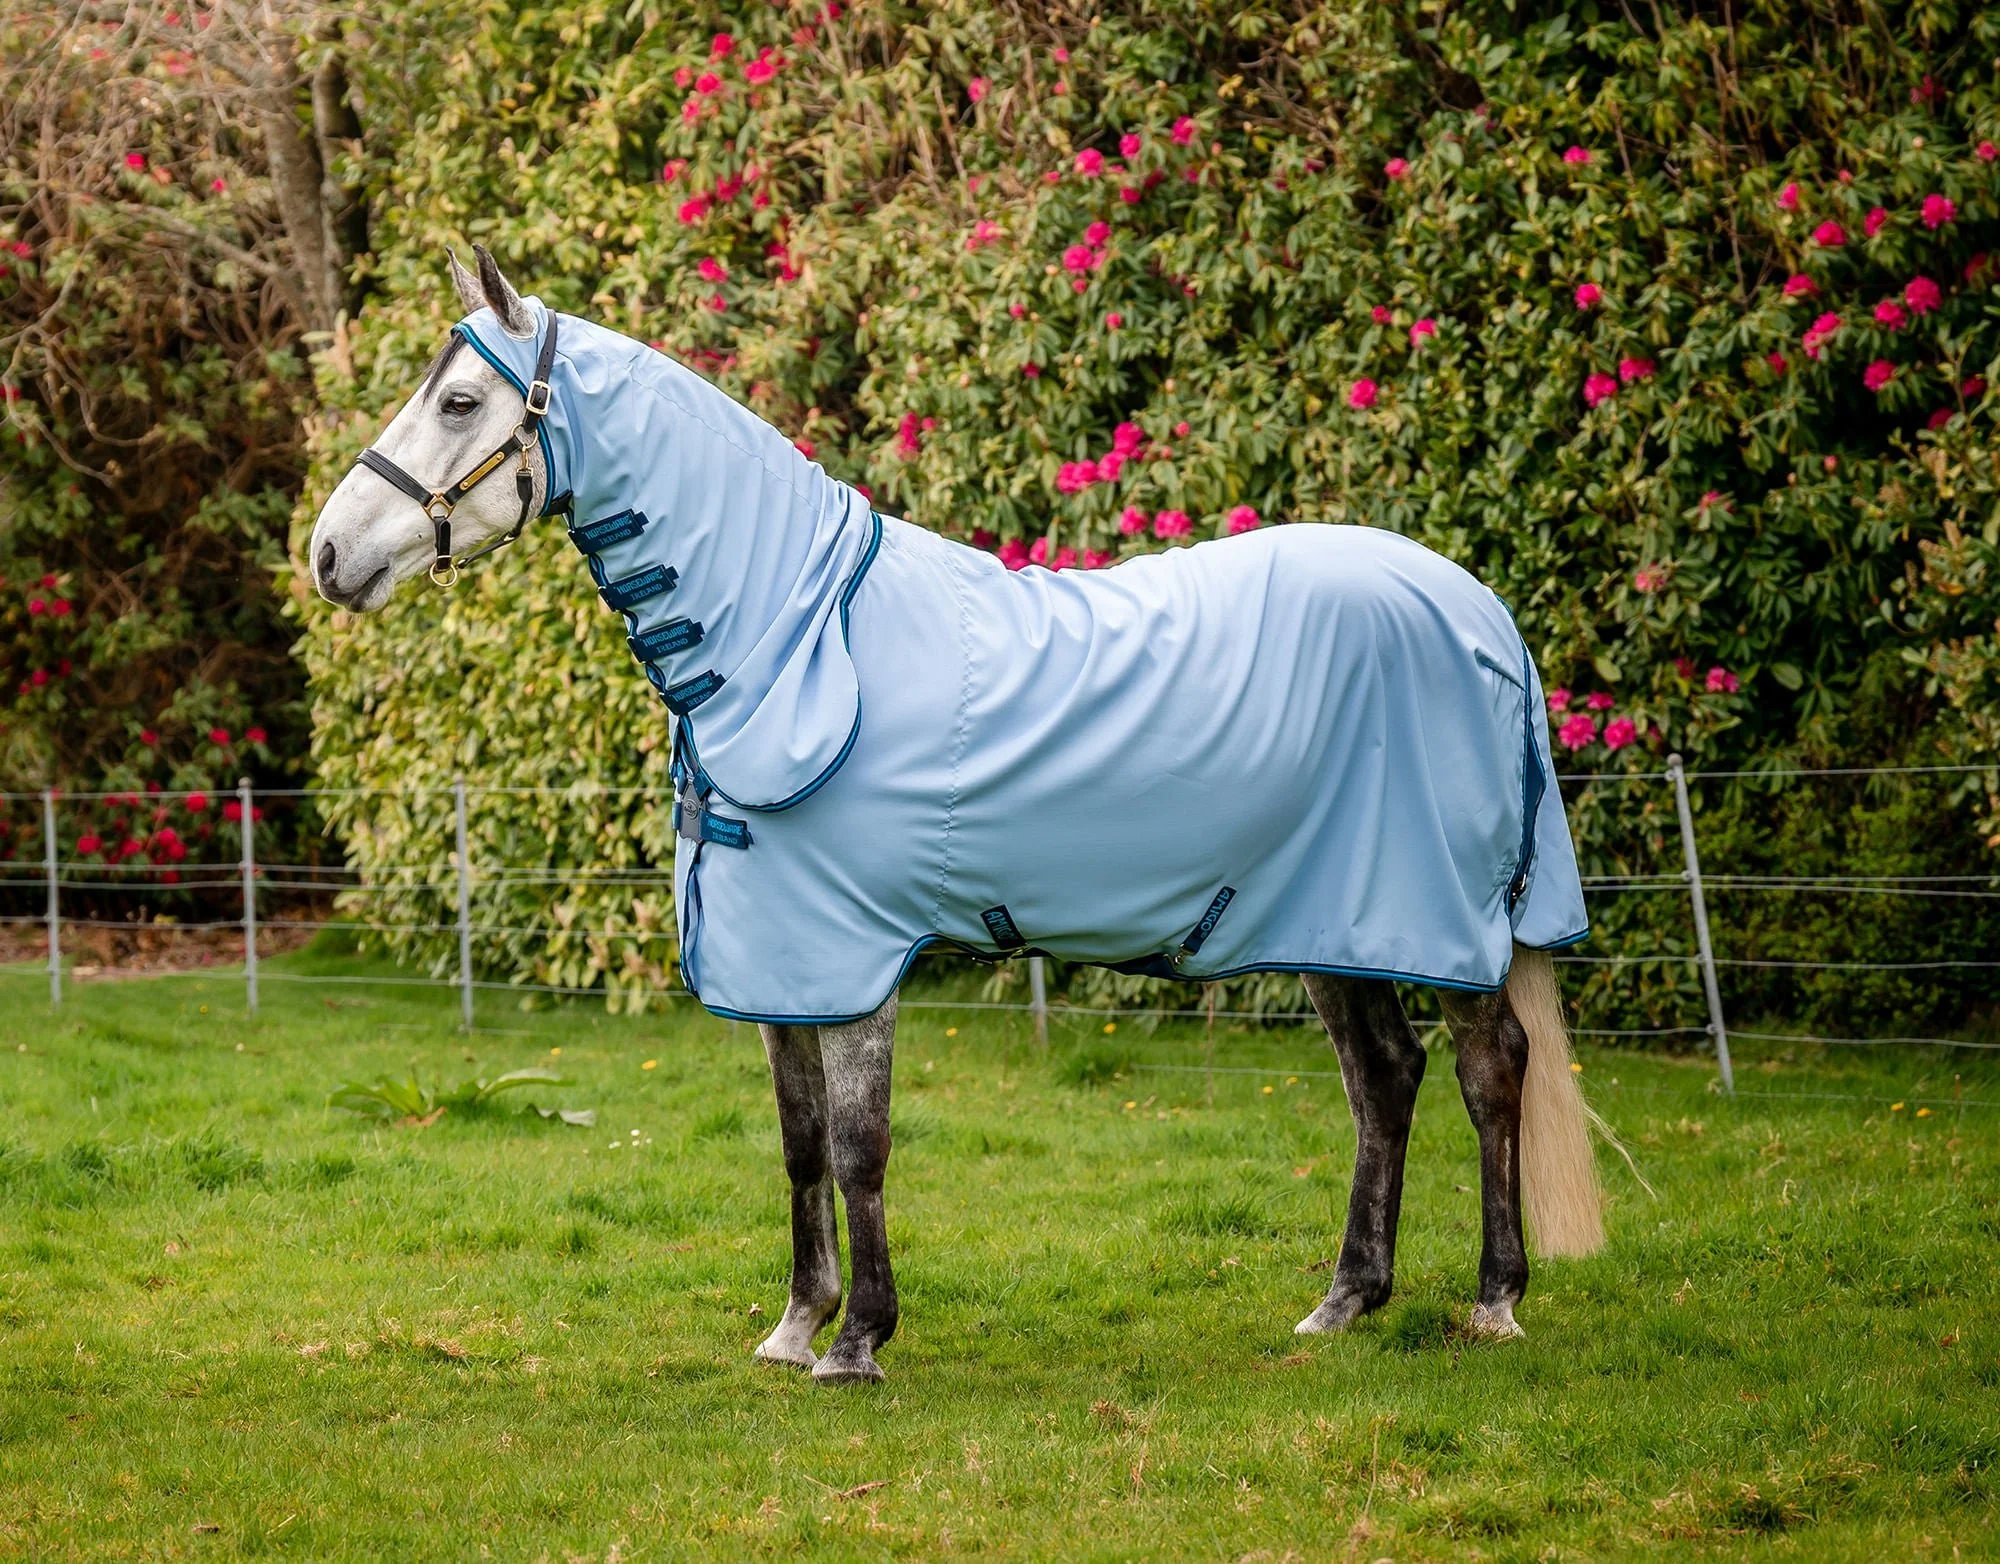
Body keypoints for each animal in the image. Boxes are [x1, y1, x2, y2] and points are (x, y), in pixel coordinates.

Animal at [310, 246, 1604, 1384]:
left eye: (461, 400)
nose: (328, 553)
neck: (790, 640)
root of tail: (1476, 607)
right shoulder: (784, 963)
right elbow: (797, 1144)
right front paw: (795, 1326)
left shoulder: (853, 957)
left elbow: (857, 1145)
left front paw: (856, 1342)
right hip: (1335, 921)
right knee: (1382, 1079)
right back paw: (1344, 1300)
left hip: (1438, 922)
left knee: (1489, 1069)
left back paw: (1493, 1300)